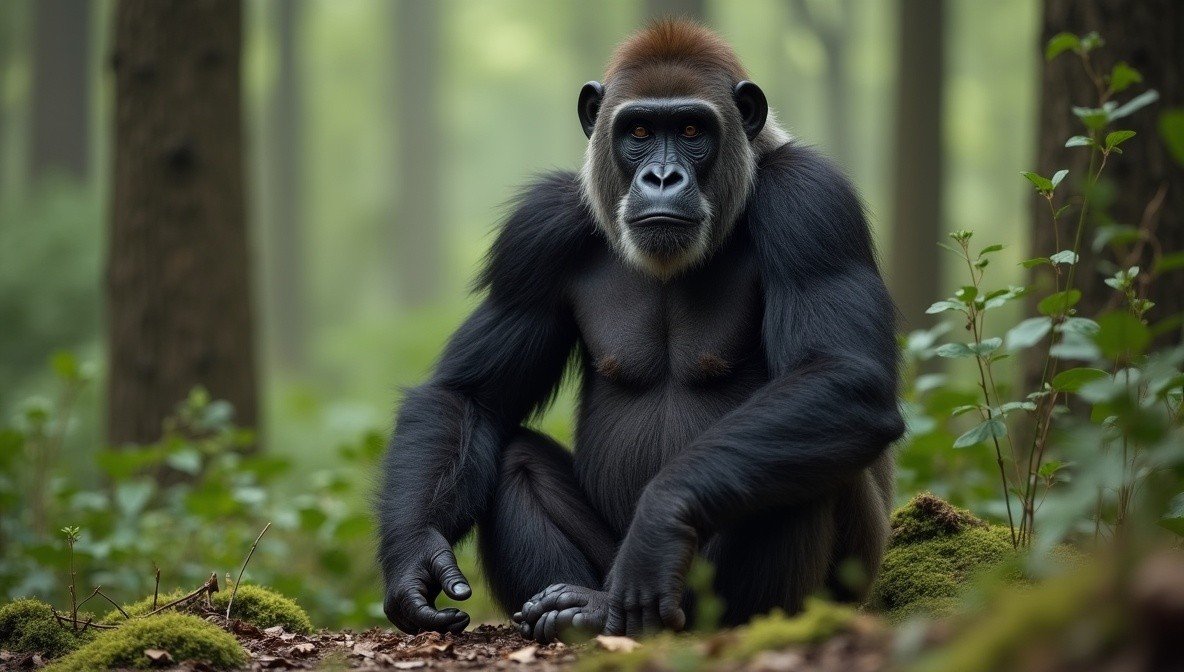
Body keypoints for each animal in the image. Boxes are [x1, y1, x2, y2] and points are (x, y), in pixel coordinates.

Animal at [376, 19, 903, 644]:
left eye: (693, 129)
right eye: (641, 130)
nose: (662, 175)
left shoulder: (813, 206)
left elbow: (842, 374)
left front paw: (660, 517)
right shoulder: (534, 234)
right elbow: (468, 395)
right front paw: (415, 560)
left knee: (804, 456)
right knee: (514, 460)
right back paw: (579, 611)